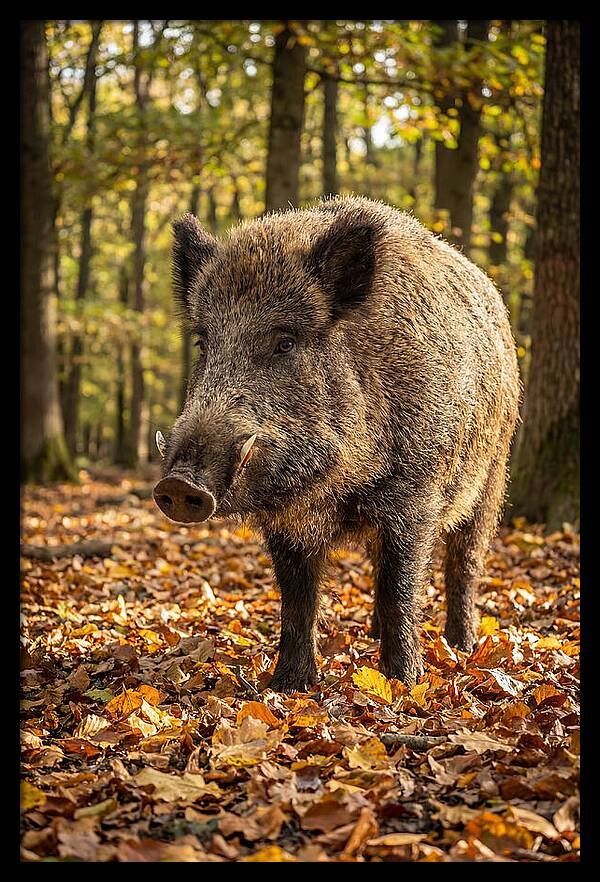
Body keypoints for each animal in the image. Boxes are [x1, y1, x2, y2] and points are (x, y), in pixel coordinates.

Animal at [153, 196, 520, 692]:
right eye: (203, 343)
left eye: (285, 342)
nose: (178, 485)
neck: (334, 487)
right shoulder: (287, 523)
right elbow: (297, 598)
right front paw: (288, 686)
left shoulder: (415, 496)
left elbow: (401, 587)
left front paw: (402, 684)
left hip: (492, 475)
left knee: (465, 562)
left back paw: (460, 646)